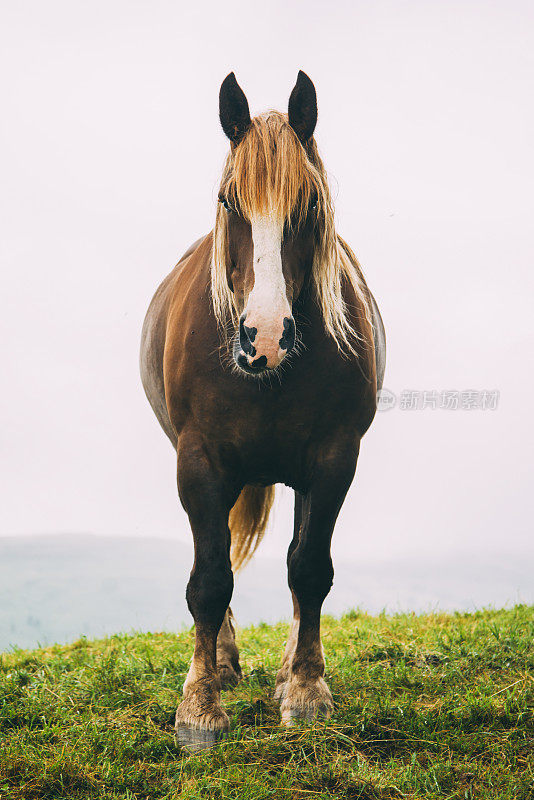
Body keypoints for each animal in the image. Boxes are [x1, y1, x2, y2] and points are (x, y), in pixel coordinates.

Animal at [140, 72, 388, 752]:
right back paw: (222, 664)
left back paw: (288, 670)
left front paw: (304, 690)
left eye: (310, 205)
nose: (266, 336)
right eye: (229, 202)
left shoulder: (333, 460)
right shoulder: (200, 463)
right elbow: (209, 578)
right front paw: (200, 706)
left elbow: (309, 570)